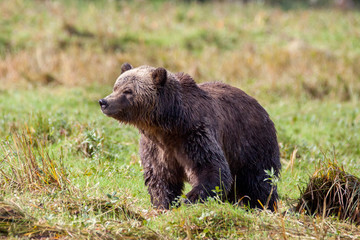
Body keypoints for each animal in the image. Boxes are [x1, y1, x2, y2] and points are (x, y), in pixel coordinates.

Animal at [99, 62, 282, 211]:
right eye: (116, 86)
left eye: (128, 91)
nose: (104, 102)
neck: (167, 125)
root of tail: (259, 106)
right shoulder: (155, 147)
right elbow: (159, 177)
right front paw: (163, 204)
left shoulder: (194, 135)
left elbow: (211, 169)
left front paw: (187, 200)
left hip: (250, 143)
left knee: (260, 181)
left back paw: (264, 206)